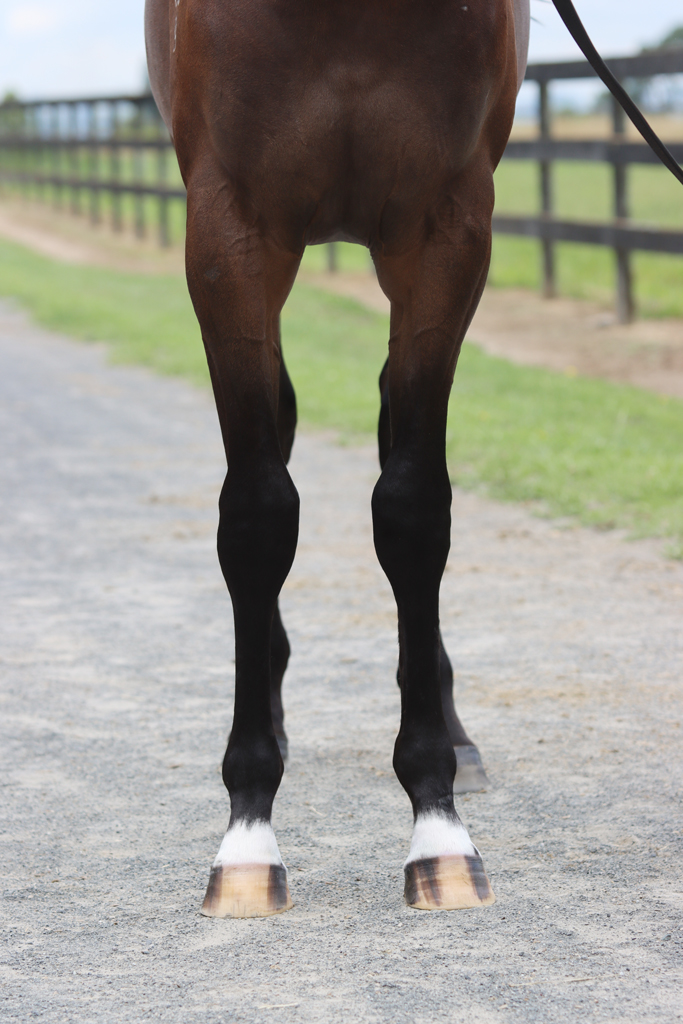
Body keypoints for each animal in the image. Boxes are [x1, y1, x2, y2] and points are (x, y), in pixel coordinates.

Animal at [145, 0, 529, 917]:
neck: (345, 16)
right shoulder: (229, 234)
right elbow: (257, 517)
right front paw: (248, 833)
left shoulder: (445, 230)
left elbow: (413, 512)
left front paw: (438, 827)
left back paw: (453, 735)